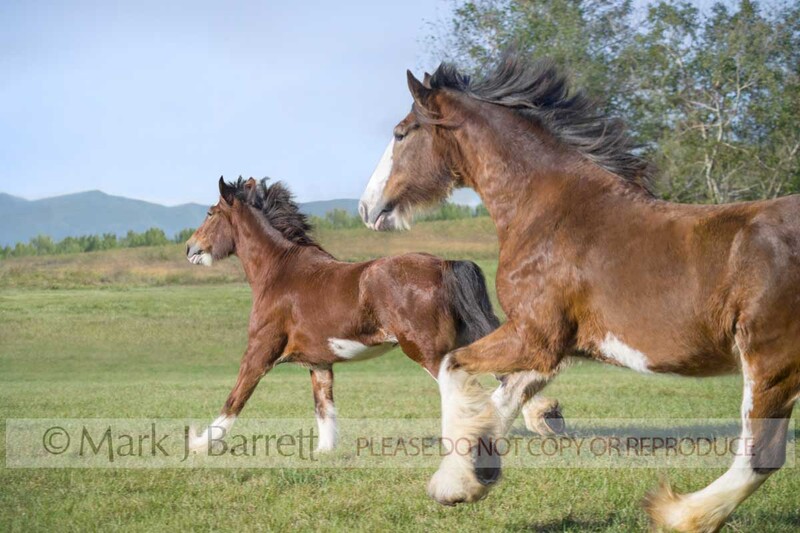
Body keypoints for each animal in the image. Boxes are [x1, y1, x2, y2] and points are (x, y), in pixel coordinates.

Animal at [184, 176, 561, 456]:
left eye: (211, 212)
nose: (190, 248)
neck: (279, 274)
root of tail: (444, 264)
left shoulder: (260, 350)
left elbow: (236, 397)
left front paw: (199, 443)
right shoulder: (319, 364)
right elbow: (325, 409)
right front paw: (324, 453)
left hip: (428, 352)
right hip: (465, 337)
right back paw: (546, 417)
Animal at [358, 55, 800, 531]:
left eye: (402, 133)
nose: (366, 208)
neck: (549, 213)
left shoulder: (535, 336)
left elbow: (452, 368)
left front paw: (454, 485)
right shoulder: (554, 348)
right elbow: (502, 399)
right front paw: (475, 475)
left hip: (770, 361)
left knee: (760, 455)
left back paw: (678, 513)